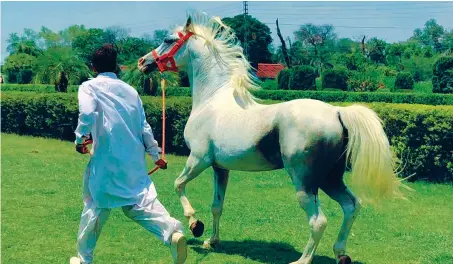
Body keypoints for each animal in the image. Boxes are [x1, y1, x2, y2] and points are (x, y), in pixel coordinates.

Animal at [137, 11, 402, 264]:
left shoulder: (198, 160)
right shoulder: (220, 168)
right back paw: (341, 254)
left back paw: (302, 260)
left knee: (319, 220)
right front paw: (212, 241)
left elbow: (178, 184)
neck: (212, 99)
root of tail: (337, 112)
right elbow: (217, 206)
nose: (143, 62)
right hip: (330, 178)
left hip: (305, 181)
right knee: (351, 205)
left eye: (168, 39)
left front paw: (195, 224)